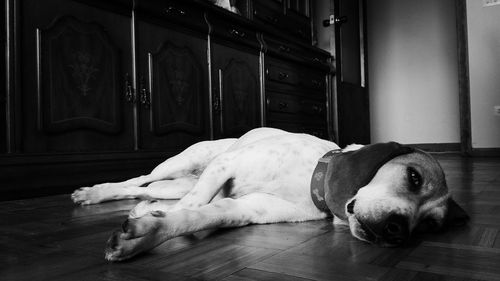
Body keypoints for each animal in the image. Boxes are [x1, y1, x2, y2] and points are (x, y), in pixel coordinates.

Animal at [71, 127, 468, 260]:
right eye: (413, 177)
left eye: (429, 226)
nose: (398, 230)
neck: (311, 177)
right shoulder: (226, 165)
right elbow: (194, 205)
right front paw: (147, 221)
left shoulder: (243, 209)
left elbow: (194, 215)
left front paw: (147, 233)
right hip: (188, 161)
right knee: (137, 180)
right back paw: (95, 192)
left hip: (178, 182)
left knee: (152, 191)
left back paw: (144, 203)